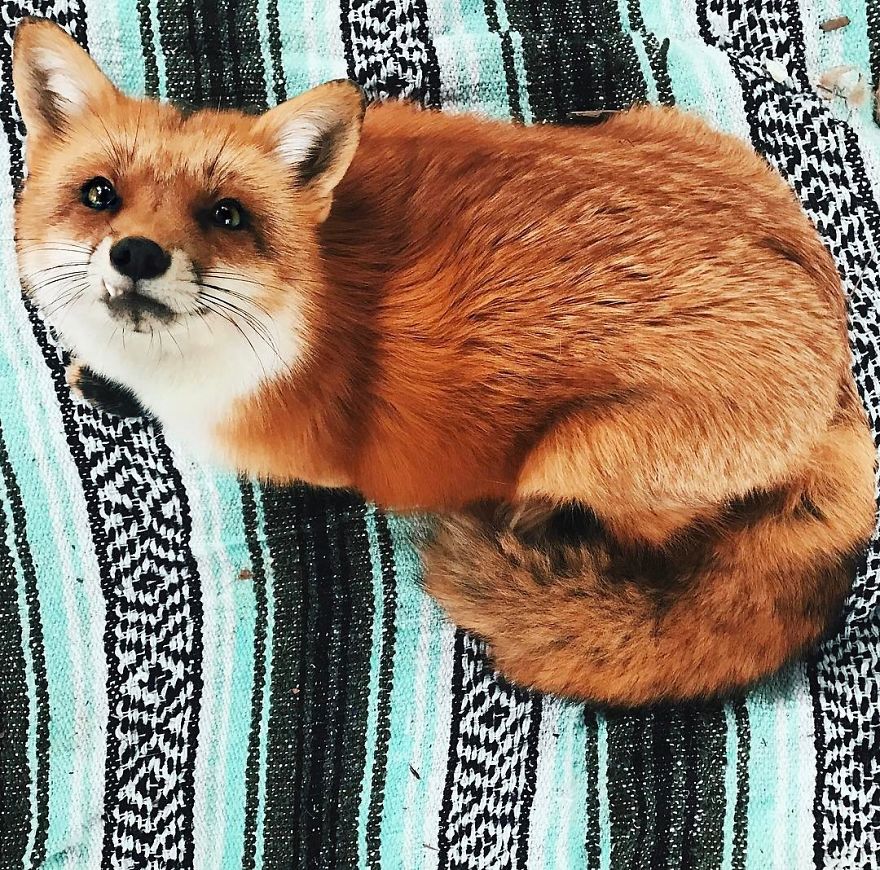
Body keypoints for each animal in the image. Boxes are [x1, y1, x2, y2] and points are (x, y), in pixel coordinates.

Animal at [13, 18, 876, 705]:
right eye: (99, 195)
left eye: (225, 215)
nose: (137, 254)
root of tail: (841, 374)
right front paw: (107, 383)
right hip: (663, 122)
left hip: (578, 449)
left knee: (638, 535)